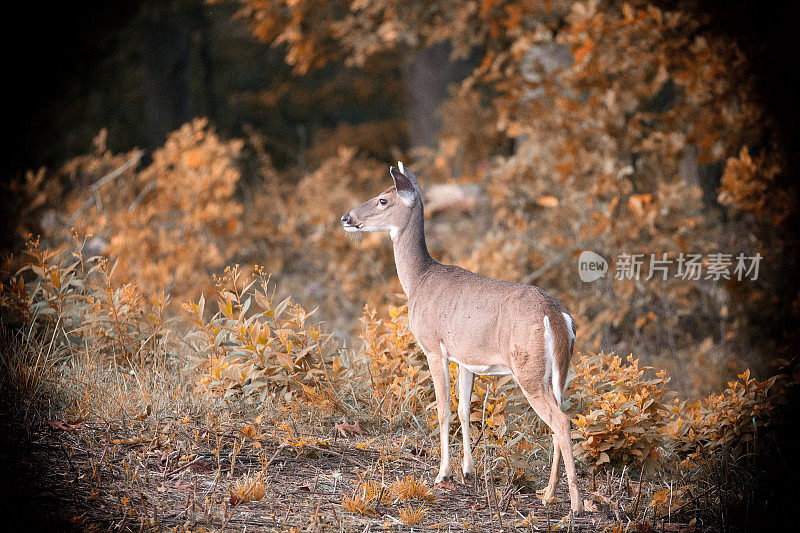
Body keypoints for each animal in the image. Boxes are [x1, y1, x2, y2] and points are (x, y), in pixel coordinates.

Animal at [340, 162, 584, 512]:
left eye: (383, 199)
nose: (346, 217)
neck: (418, 281)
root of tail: (557, 316)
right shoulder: (466, 358)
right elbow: (463, 410)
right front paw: (468, 472)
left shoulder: (433, 346)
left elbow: (442, 409)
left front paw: (443, 474)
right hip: (558, 371)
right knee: (557, 420)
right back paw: (548, 493)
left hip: (528, 367)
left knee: (561, 422)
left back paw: (575, 503)